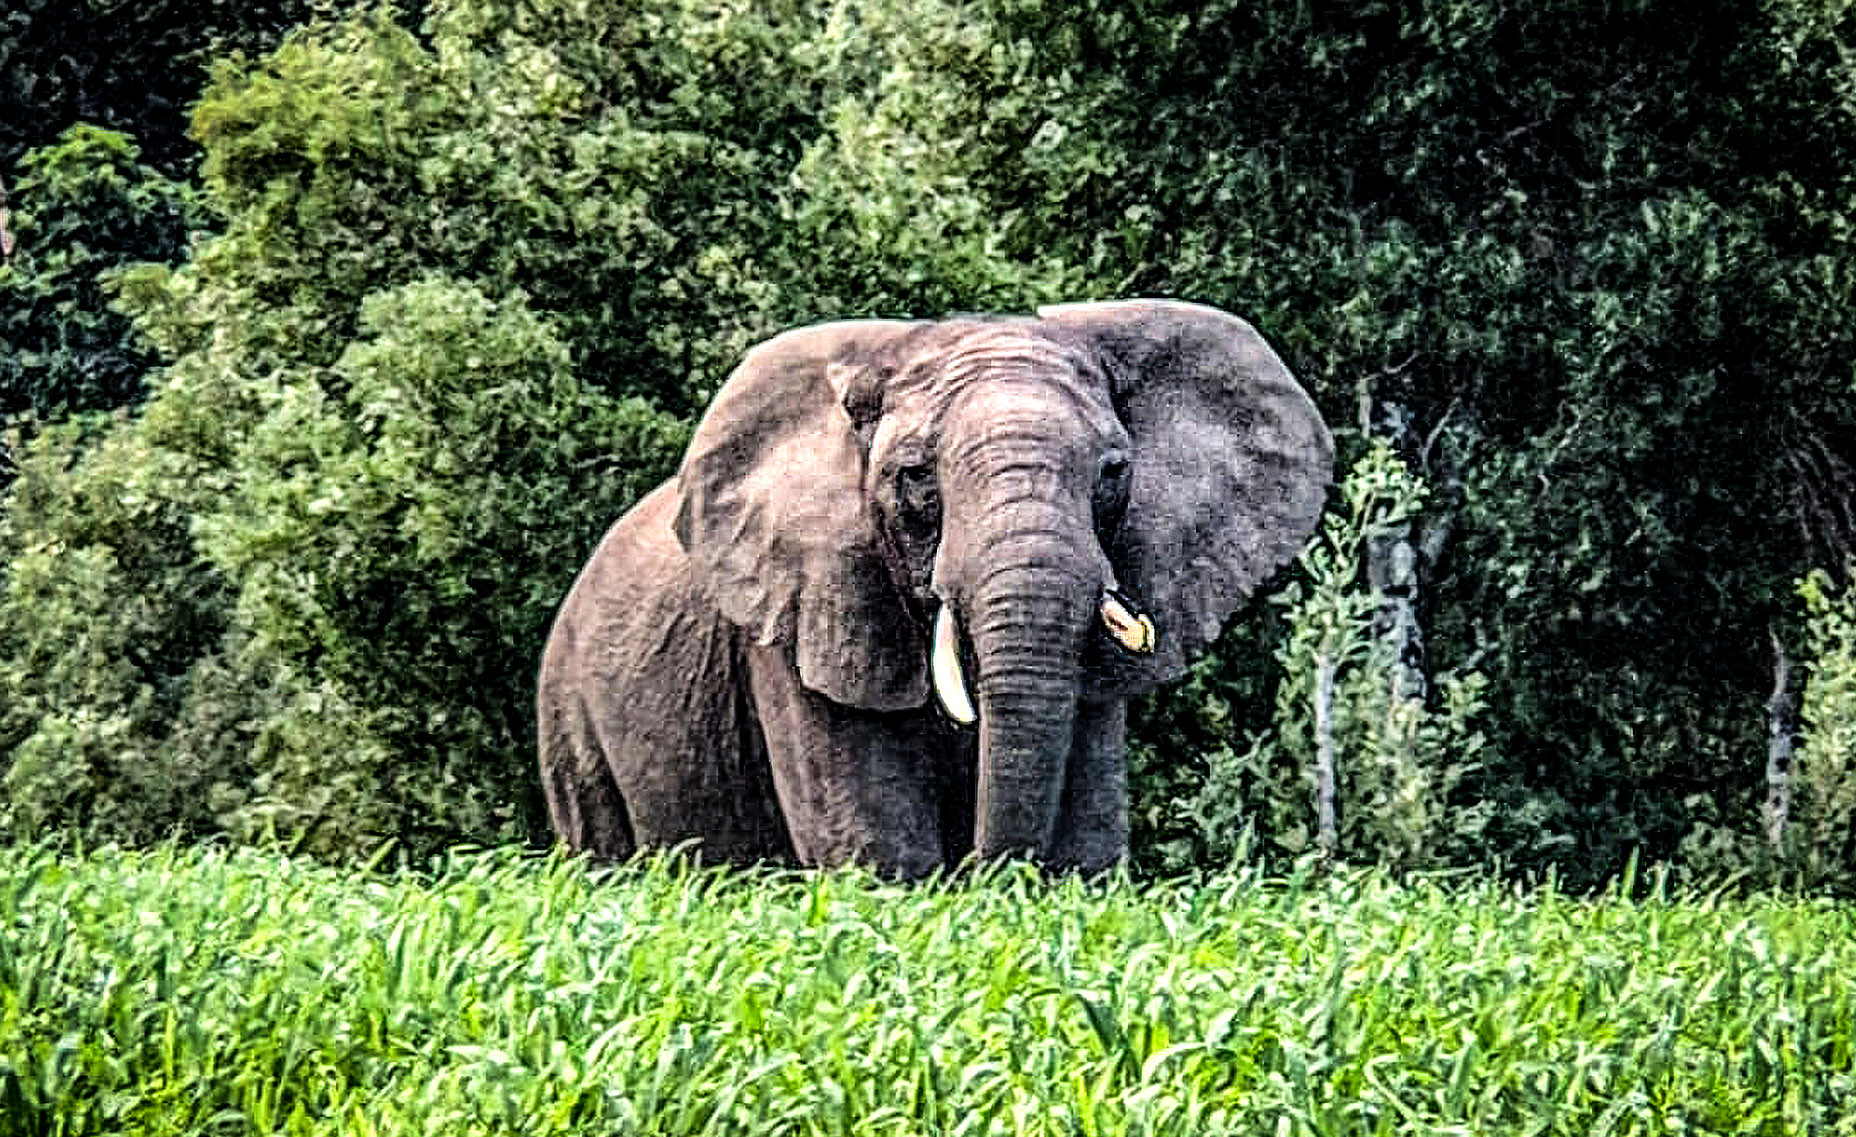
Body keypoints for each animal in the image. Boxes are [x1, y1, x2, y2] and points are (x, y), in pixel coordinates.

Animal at [536, 299, 1332, 877]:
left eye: (1113, 472)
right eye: (915, 478)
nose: (989, 878)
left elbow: (1088, 835)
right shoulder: (804, 618)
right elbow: (872, 845)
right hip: (568, 708)